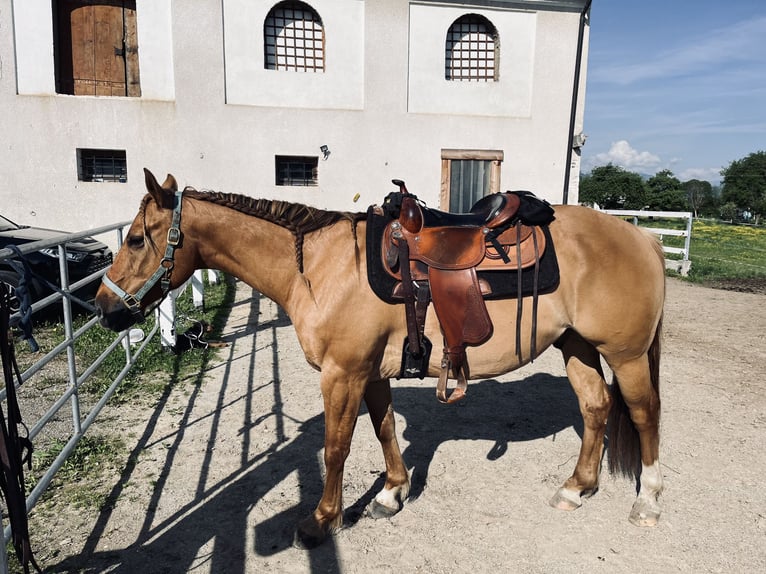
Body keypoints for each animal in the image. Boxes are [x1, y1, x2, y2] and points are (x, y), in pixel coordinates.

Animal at [95, 169, 665, 548]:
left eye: (137, 238)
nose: (103, 308)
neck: (320, 266)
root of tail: (642, 235)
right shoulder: (369, 373)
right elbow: (385, 428)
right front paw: (392, 494)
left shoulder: (342, 374)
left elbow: (335, 448)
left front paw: (322, 519)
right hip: (578, 346)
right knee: (595, 408)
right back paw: (577, 488)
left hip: (626, 355)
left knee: (644, 414)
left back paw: (648, 501)